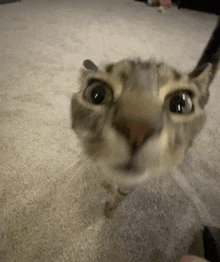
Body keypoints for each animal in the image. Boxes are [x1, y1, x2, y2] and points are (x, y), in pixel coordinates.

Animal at [71, 17, 219, 217]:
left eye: (181, 103)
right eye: (97, 94)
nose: (137, 131)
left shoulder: (131, 184)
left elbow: (120, 194)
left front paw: (110, 210)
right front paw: (107, 187)